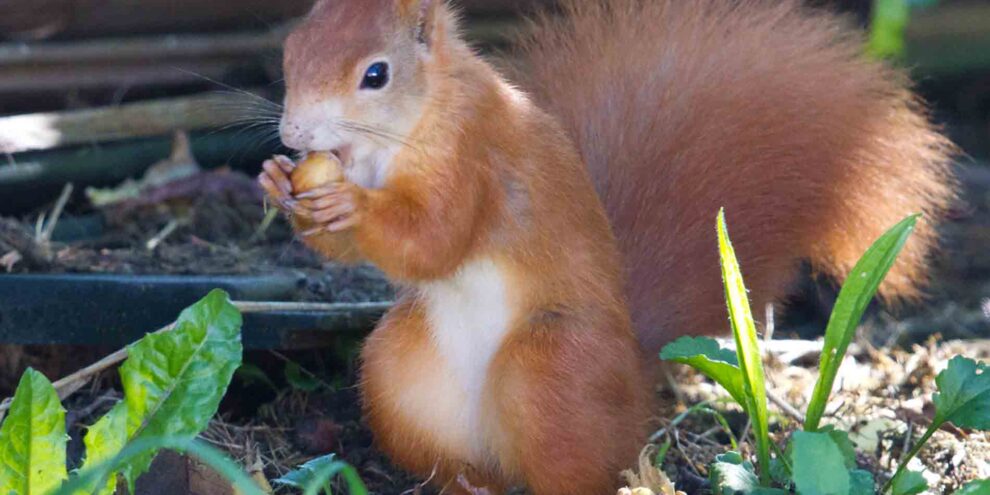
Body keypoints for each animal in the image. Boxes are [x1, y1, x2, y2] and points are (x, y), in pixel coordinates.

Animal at [257, 0, 956, 493]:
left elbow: (434, 240)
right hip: (397, 375)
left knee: (575, 470)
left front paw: (350, 205)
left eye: (375, 75)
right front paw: (276, 182)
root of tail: (637, 380)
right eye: (290, 51)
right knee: (472, 466)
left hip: (555, 364)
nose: (294, 133)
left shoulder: (475, 158)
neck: (398, 134)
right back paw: (467, 486)